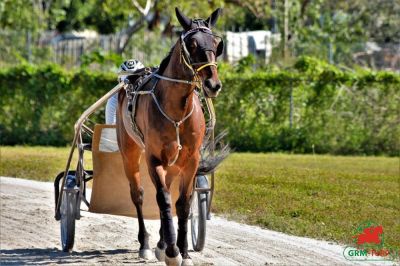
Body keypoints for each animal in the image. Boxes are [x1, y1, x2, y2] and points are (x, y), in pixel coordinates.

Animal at [116, 7, 225, 264]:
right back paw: (147, 244)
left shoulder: (191, 161)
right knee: (139, 195)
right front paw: (173, 252)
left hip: (175, 164)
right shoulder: (154, 159)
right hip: (130, 152)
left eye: (217, 44)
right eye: (192, 44)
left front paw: (183, 252)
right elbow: (163, 200)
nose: (213, 84)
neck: (177, 110)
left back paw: (162, 242)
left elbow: (183, 204)